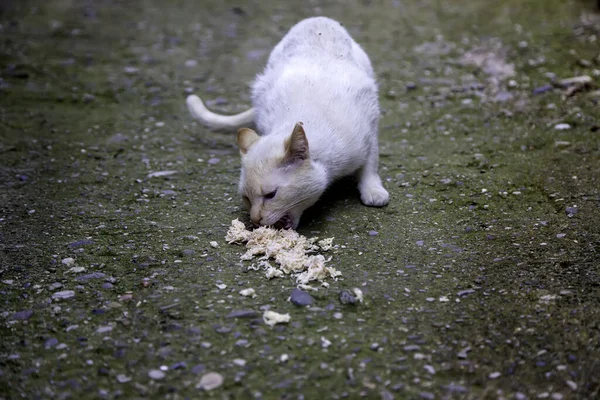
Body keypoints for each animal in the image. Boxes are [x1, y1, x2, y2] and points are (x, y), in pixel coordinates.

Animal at [186, 16, 390, 228]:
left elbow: (370, 165)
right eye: (246, 198)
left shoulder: (370, 130)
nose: (255, 220)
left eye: (271, 195)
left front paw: (372, 190)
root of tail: (316, 19)